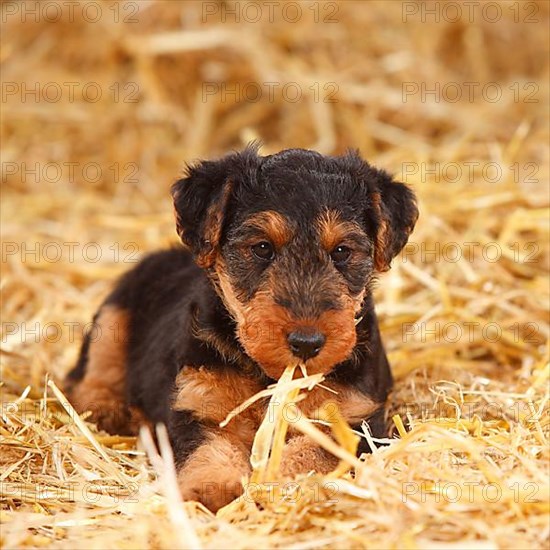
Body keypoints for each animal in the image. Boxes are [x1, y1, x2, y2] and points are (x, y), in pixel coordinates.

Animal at [64, 147, 418, 512]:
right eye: (262, 248)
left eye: (342, 251)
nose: (307, 343)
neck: (270, 378)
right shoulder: (198, 407)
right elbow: (208, 449)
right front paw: (211, 489)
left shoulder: (357, 421)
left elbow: (314, 452)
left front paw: (281, 481)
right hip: (113, 316)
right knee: (90, 373)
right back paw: (105, 409)